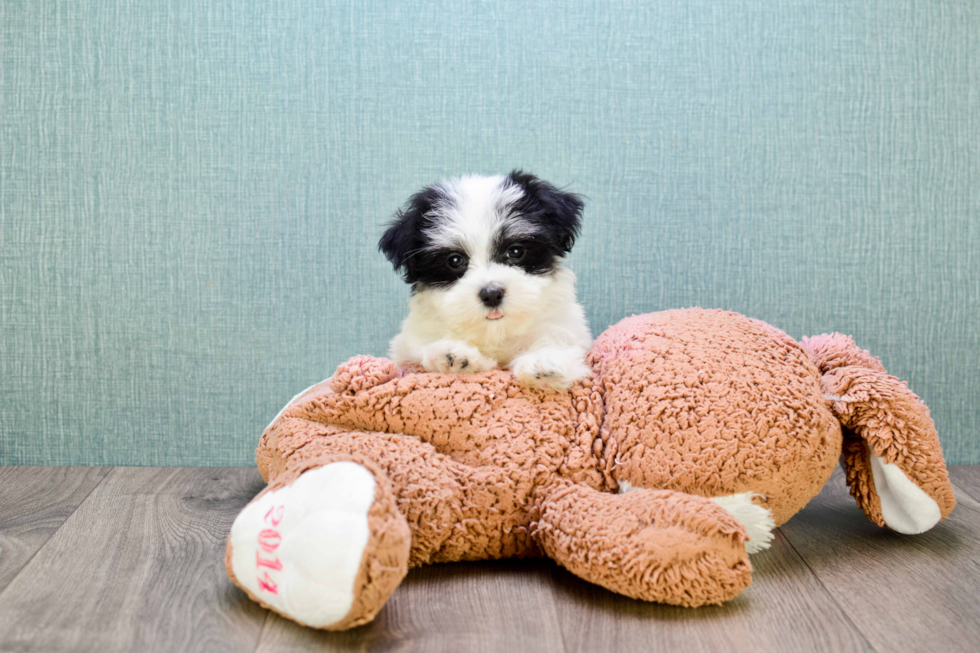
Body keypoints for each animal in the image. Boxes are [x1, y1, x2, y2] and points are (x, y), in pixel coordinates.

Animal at [378, 171, 588, 390]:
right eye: (454, 260)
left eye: (515, 251)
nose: (492, 294)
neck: (496, 332)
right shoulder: (410, 344)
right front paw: (453, 353)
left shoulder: (562, 324)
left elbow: (556, 339)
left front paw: (545, 361)